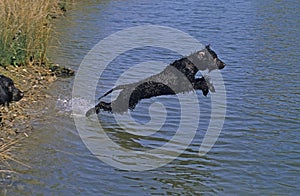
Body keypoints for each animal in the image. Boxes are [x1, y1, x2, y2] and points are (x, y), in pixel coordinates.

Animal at [86, 45, 225, 115]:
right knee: (103, 104)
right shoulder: (187, 84)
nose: (224, 64)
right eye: (214, 57)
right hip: (125, 103)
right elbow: (202, 81)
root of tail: (126, 87)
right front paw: (208, 88)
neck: (190, 64)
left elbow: (203, 79)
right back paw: (90, 111)